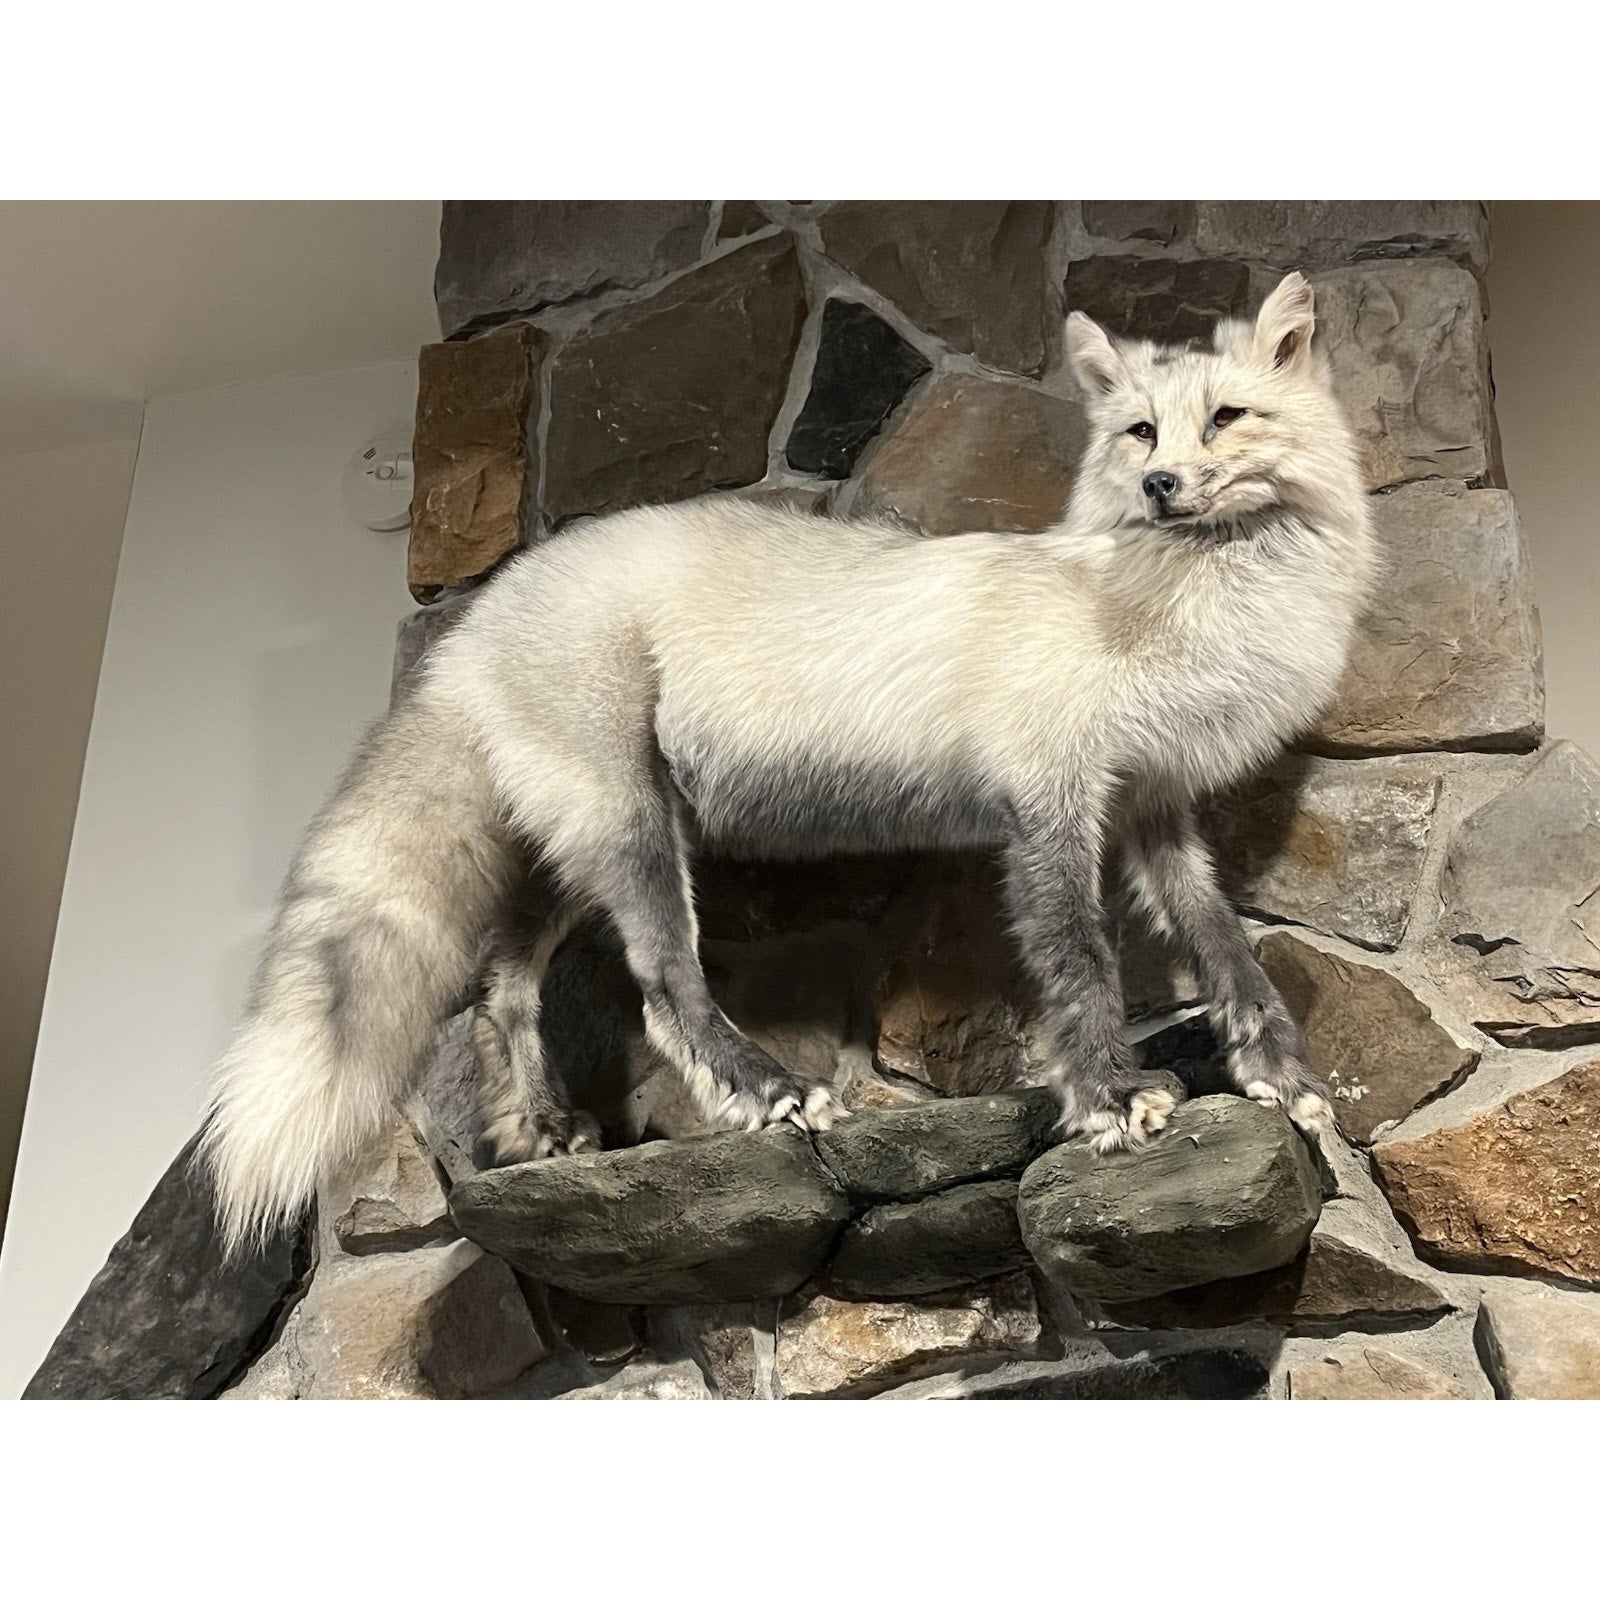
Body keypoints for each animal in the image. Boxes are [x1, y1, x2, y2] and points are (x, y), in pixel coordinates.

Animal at [203, 271, 1377, 1251]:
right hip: (632, 834)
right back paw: (764, 1091)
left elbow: (1227, 951)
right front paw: (1110, 1101)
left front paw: (1281, 1076)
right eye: (1139, 432)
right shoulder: (1050, 804)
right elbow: (1080, 965)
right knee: (661, 988)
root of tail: (479, 615)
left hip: (579, 849)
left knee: (503, 986)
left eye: (1227, 417)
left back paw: (535, 1129)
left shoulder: (1151, 806)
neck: (1167, 616)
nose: (1163, 484)